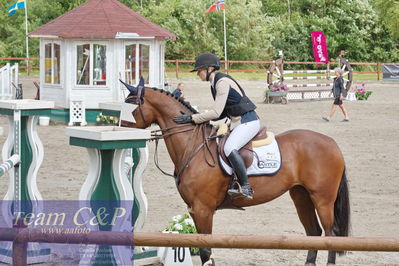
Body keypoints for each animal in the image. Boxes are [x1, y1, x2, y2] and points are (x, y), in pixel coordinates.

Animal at [120, 81, 352, 266]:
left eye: (131, 106)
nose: (118, 127)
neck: (192, 146)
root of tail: (332, 143)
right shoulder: (194, 210)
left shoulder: (203, 209)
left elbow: (206, 251)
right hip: (301, 196)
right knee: (313, 233)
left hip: (322, 199)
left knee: (330, 235)